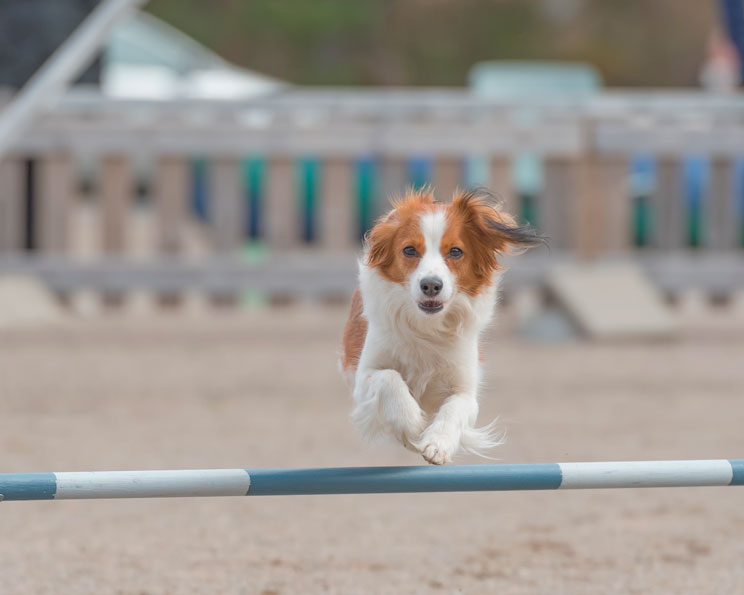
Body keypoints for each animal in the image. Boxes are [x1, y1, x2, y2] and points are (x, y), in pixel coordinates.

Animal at [340, 186, 544, 466]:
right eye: (409, 250)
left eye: (456, 252)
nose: (431, 285)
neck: (427, 326)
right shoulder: (364, 377)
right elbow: (390, 378)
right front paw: (414, 425)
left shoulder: (465, 389)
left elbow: (454, 408)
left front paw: (437, 443)